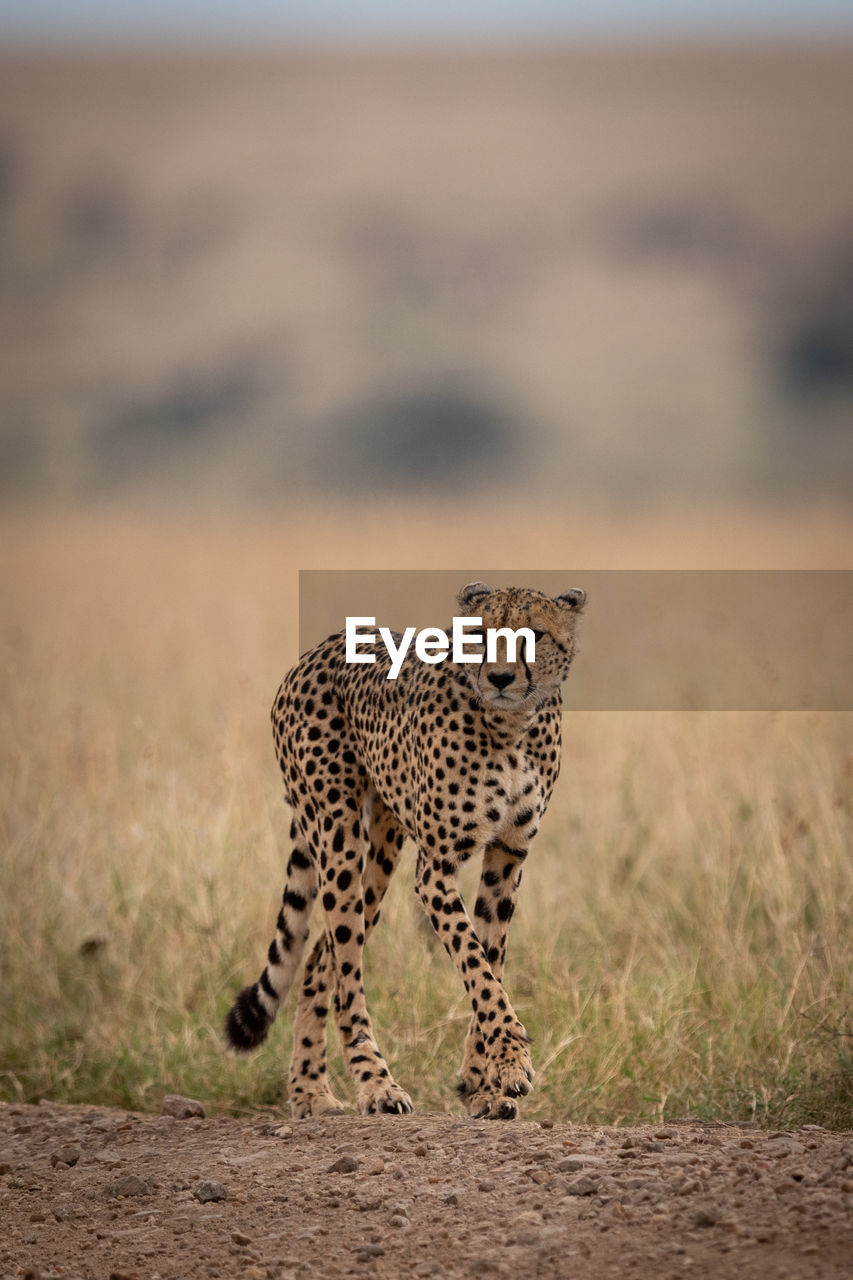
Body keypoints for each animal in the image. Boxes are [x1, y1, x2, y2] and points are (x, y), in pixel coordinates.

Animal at [224, 581, 584, 1121]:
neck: (510, 726)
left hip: (381, 850)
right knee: (345, 971)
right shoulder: (435, 870)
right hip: (339, 837)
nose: (500, 677)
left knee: (319, 960)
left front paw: (482, 1083)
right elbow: (476, 966)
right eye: (478, 634)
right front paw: (510, 1058)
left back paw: (309, 1090)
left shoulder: (508, 855)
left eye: (533, 635)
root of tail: (320, 647)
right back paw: (375, 1085)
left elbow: (490, 960)